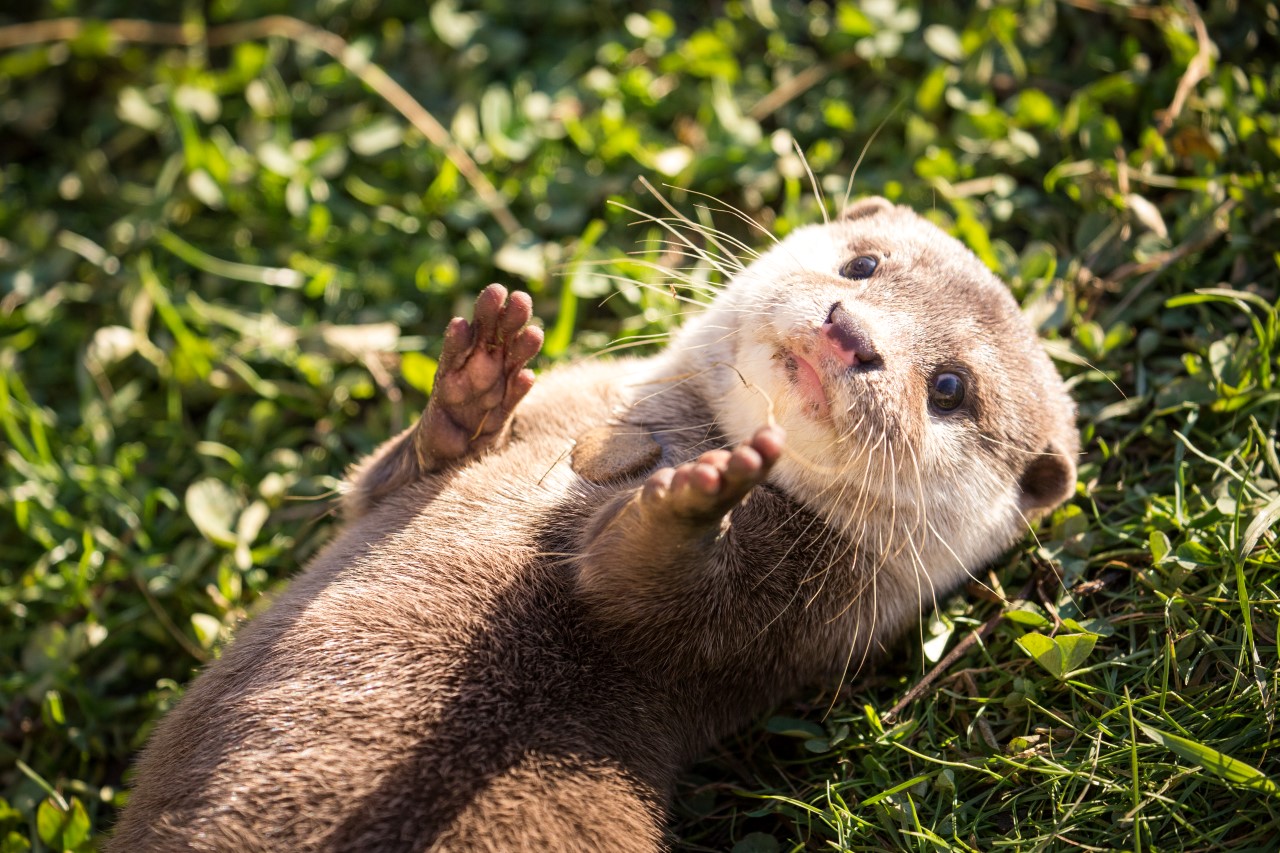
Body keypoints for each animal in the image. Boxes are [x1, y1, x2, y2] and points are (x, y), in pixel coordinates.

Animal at [110, 197, 1075, 850]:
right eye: (864, 266)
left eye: (949, 387)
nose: (850, 332)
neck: (641, 432)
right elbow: (375, 485)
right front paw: (476, 383)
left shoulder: (790, 618)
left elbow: (640, 596)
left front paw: (700, 495)